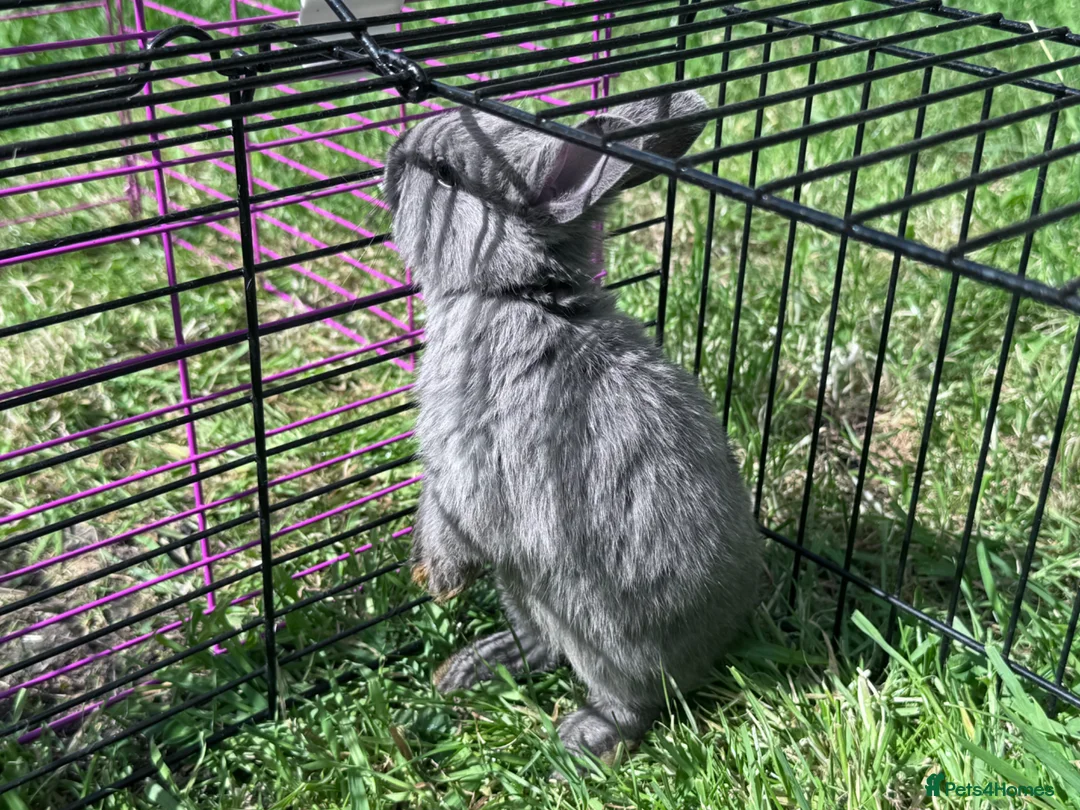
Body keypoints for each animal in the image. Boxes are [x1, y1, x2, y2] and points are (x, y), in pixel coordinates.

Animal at [381, 90, 762, 765]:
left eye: (445, 174)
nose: (390, 161)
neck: (514, 292)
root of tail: (715, 646)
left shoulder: (462, 461)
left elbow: (446, 512)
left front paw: (437, 579)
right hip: (525, 588)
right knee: (539, 645)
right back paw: (471, 667)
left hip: (595, 630)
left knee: (633, 700)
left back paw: (581, 741)